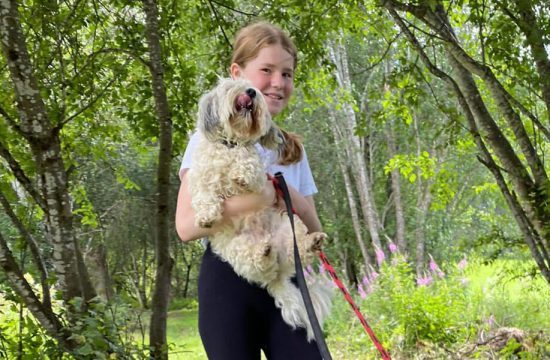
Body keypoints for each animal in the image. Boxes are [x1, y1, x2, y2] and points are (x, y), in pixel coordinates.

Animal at [188, 78, 334, 340]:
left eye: (251, 86)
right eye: (230, 86)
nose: (250, 92)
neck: (230, 144)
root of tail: (277, 278)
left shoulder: (259, 177)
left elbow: (248, 164)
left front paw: (240, 175)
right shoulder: (200, 178)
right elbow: (204, 194)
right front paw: (206, 216)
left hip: (289, 227)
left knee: (294, 251)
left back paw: (310, 242)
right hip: (237, 251)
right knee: (259, 264)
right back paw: (263, 252)